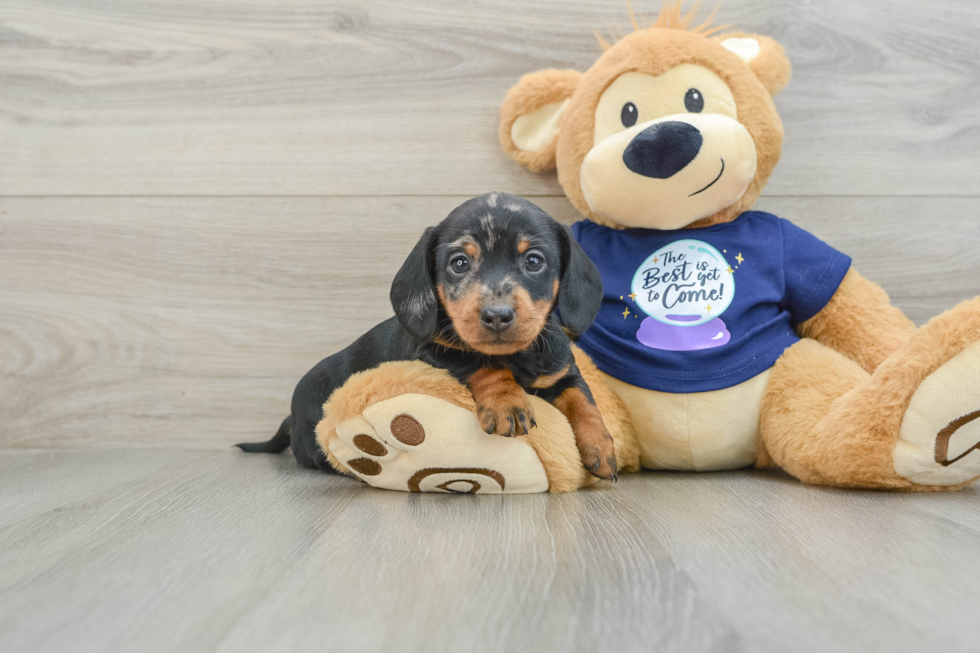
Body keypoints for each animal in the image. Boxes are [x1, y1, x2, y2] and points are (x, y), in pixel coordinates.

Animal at [238, 191, 616, 482]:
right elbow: (484, 364)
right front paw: (506, 401)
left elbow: (584, 401)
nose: (497, 316)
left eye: (534, 261)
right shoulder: (433, 353)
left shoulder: (563, 371)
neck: (514, 355)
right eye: (459, 263)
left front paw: (602, 447)